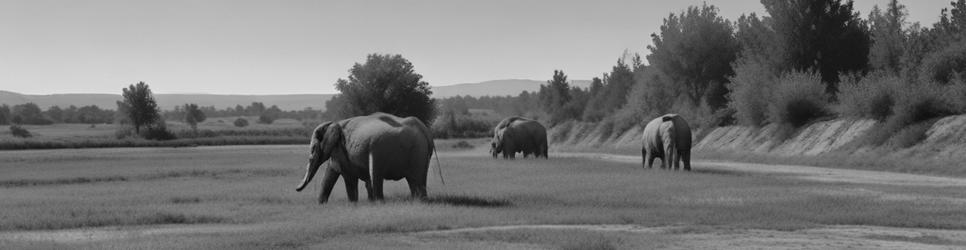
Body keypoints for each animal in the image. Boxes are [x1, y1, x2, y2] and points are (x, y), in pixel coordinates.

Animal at [292, 113, 434, 203]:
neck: (333, 124)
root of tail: (424, 130)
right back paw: (420, 201)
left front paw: (353, 204)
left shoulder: (340, 150)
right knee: (417, 178)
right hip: (420, 151)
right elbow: (332, 173)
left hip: (380, 149)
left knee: (377, 174)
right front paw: (322, 204)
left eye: (312, 149)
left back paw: (380, 202)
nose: (296, 189)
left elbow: (347, 176)